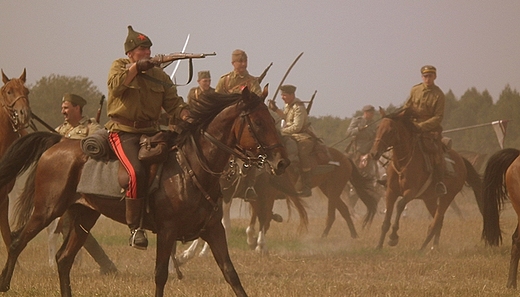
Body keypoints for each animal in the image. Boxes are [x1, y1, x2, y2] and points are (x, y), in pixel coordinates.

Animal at [0, 86, 288, 296]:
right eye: (258, 123)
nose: (282, 163)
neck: (192, 167)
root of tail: (60, 141)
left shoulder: (213, 230)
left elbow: (230, 273)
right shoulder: (168, 231)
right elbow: (161, 275)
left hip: (85, 216)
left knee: (63, 259)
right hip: (47, 210)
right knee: (17, 243)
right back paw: (5, 284)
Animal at [370, 107, 484, 249]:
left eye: (391, 130)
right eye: (378, 128)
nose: (374, 153)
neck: (403, 163)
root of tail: (461, 160)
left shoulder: (410, 192)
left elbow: (400, 205)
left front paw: (393, 237)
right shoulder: (390, 192)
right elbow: (386, 220)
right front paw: (378, 247)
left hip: (447, 197)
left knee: (436, 221)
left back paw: (422, 248)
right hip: (430, 199)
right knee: (438, 221)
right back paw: (433, 247)